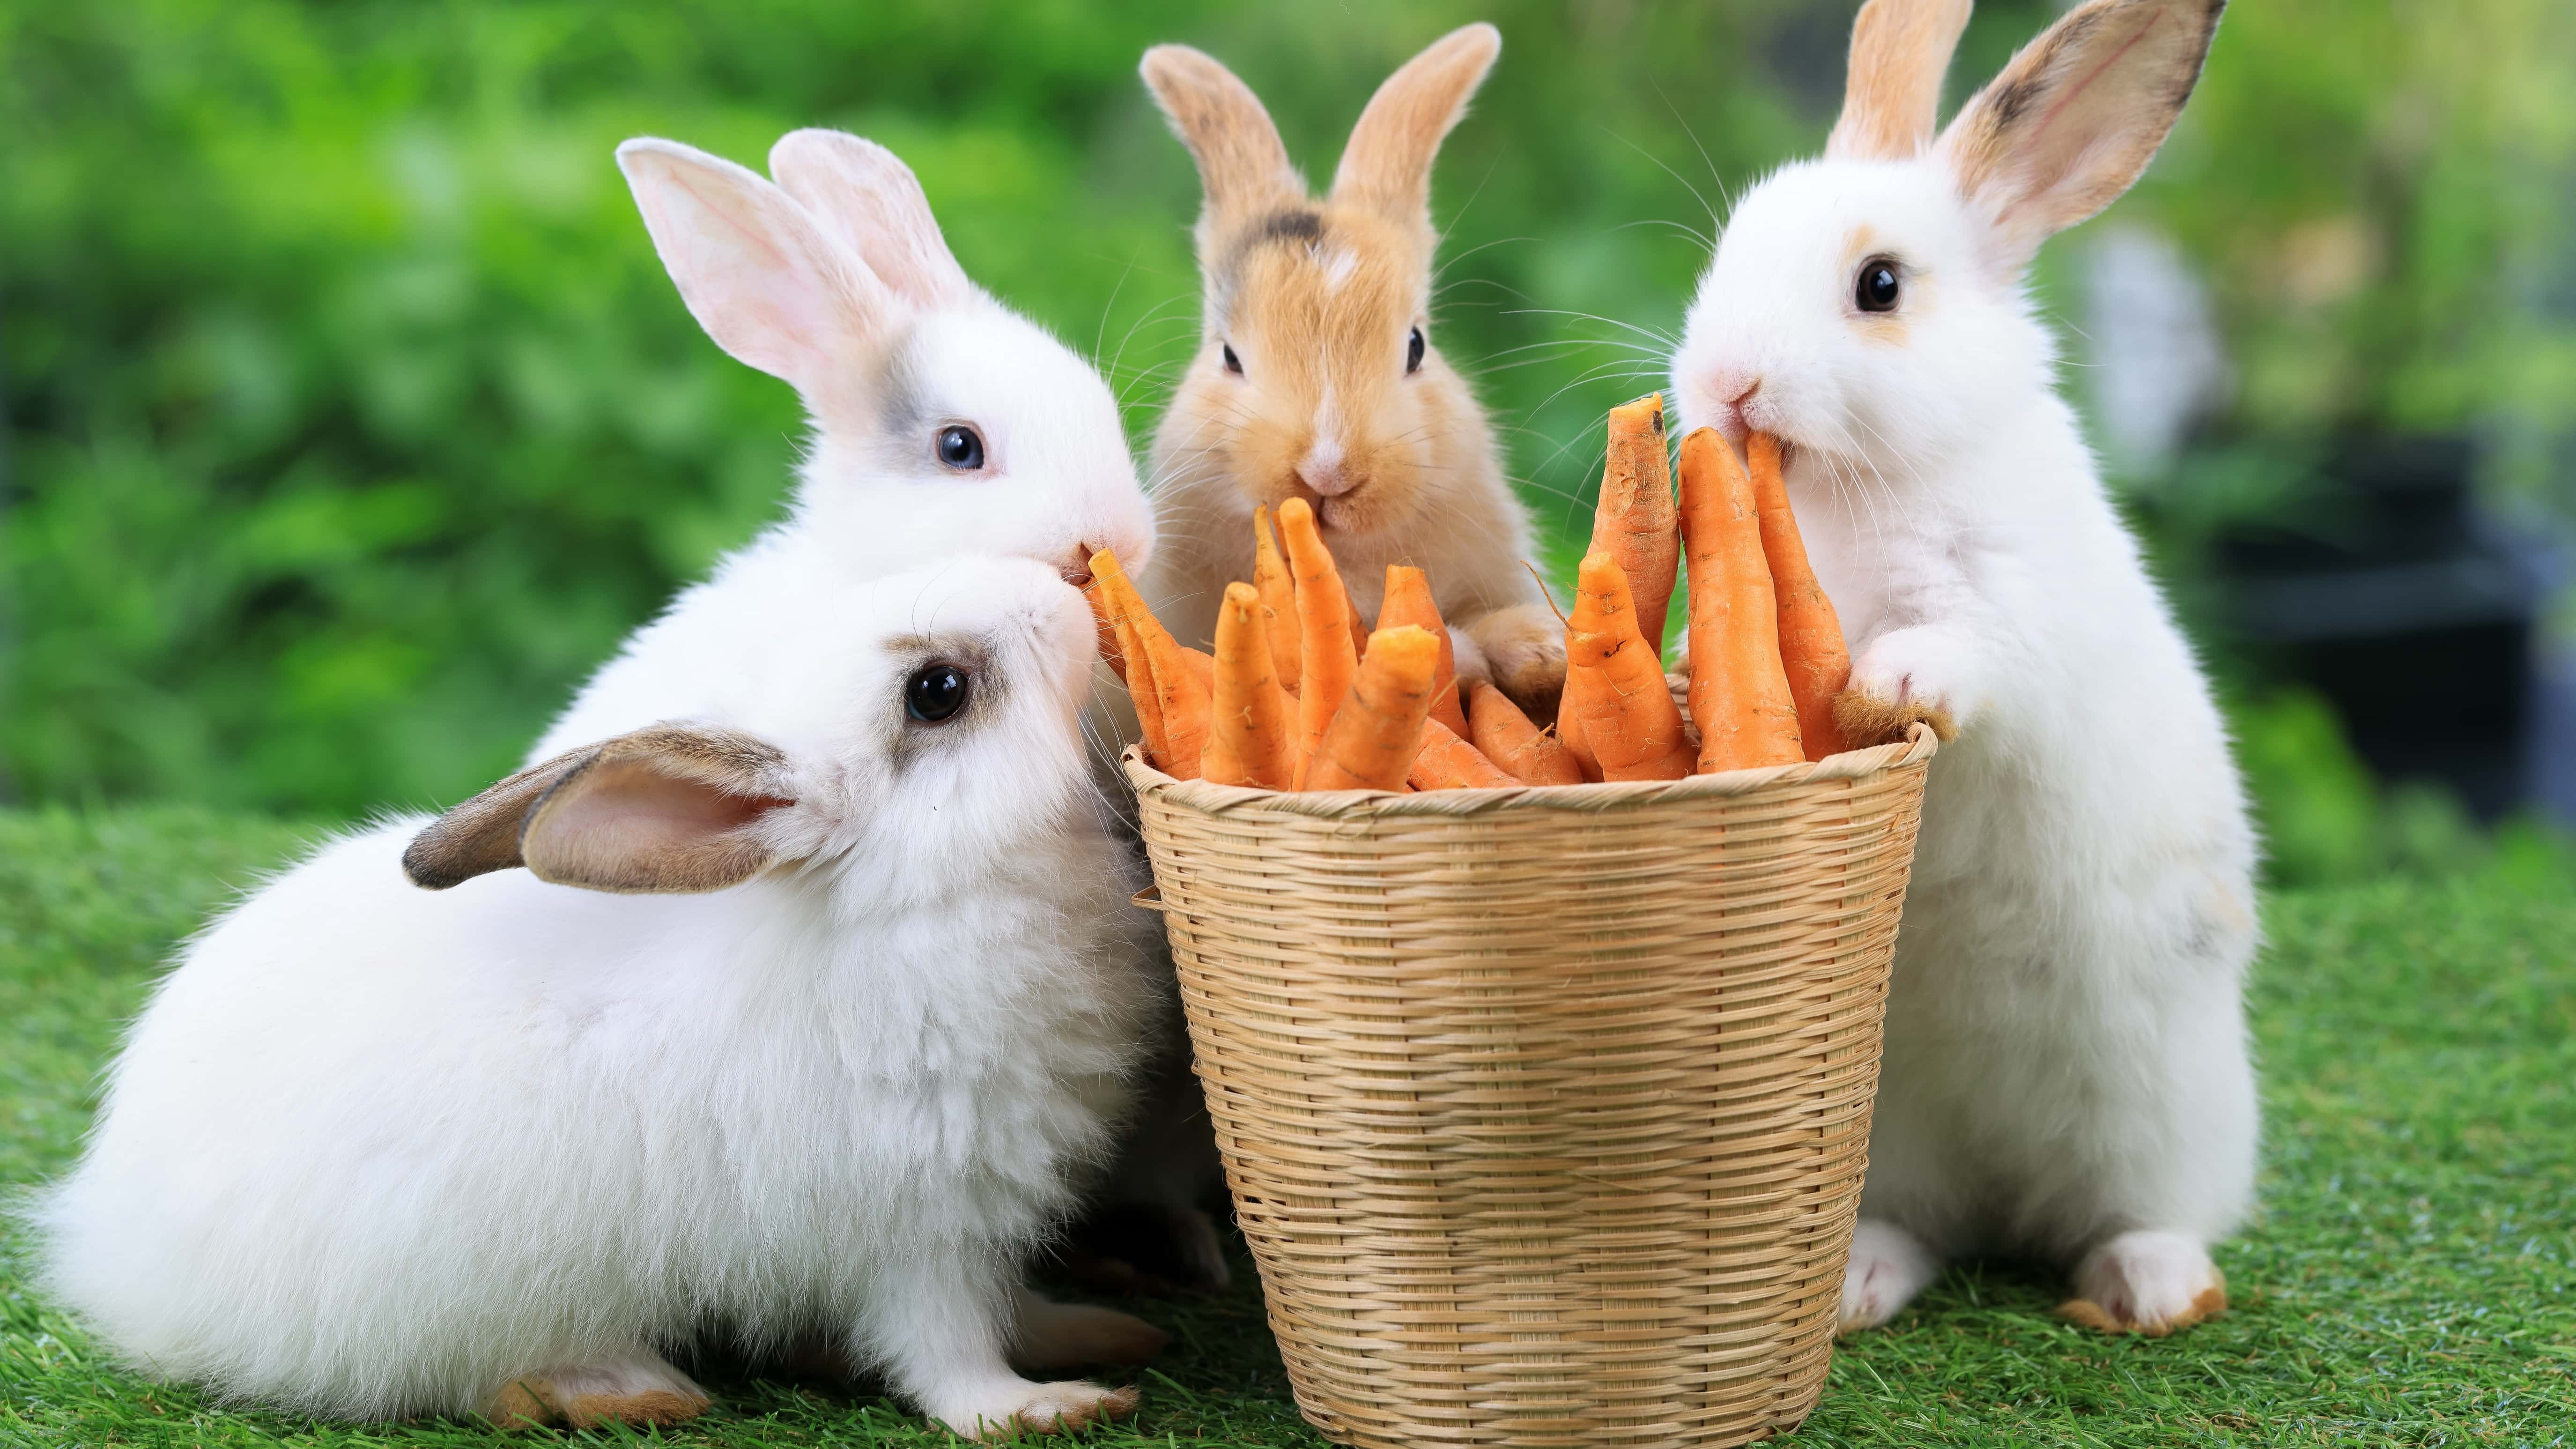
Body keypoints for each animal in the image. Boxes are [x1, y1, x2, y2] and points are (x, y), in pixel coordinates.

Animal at [31, 554, 1175, 1437]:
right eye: (938, 690)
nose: (1061, 581)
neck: (911, 897)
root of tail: (111, 1245)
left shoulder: (986, 1215)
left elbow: (1017, 1301)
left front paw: (1099, 1331)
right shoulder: (918, 1226)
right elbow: (947, 1349)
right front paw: (1045, 1404)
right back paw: (630, 1388)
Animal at [1666, 0, 2258, 1337]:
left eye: (1878, 286)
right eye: (1724, 252)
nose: (1723, 384)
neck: (1859, 487)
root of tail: (2004, 1192)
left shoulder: (2012, 616)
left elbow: (1960, 653)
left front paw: (1885, 687)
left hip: (2170, 1111)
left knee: (2142, 1210)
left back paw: (2147, 1290)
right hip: (1887, 1136)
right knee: (1919, 1227)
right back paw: (1856, 1286)